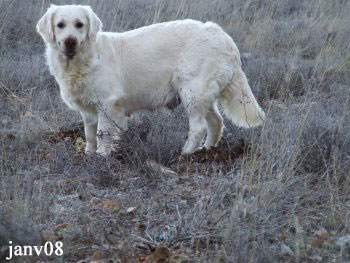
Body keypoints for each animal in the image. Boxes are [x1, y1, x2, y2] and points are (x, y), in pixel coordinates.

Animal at [36, 4, 266, 156]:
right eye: (60, 25)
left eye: (79, 25)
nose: (70, 42)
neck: (82, 60)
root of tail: (221, 35)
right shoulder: (88, 110)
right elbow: (90, 134)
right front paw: (89, 154)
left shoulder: (108, 105)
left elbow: (103, 134)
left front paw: (101, 157)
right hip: (203, 95)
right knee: (216, 122)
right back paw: (207, 151)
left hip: (192, 92)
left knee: (198, 127)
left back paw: (186, 154)